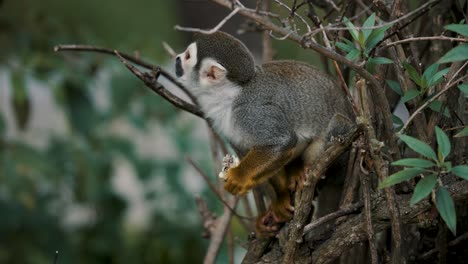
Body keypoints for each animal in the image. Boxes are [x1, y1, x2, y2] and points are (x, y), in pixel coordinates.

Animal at [176, 31, 354, 235]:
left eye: (188, 56)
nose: (177, 59)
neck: (228, 97)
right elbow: (251, 150)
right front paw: (280, 199)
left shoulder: (251, 111)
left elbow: (282, 142)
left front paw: (239, 176)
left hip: (343, 156)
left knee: (338, 123)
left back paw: (307, 170)